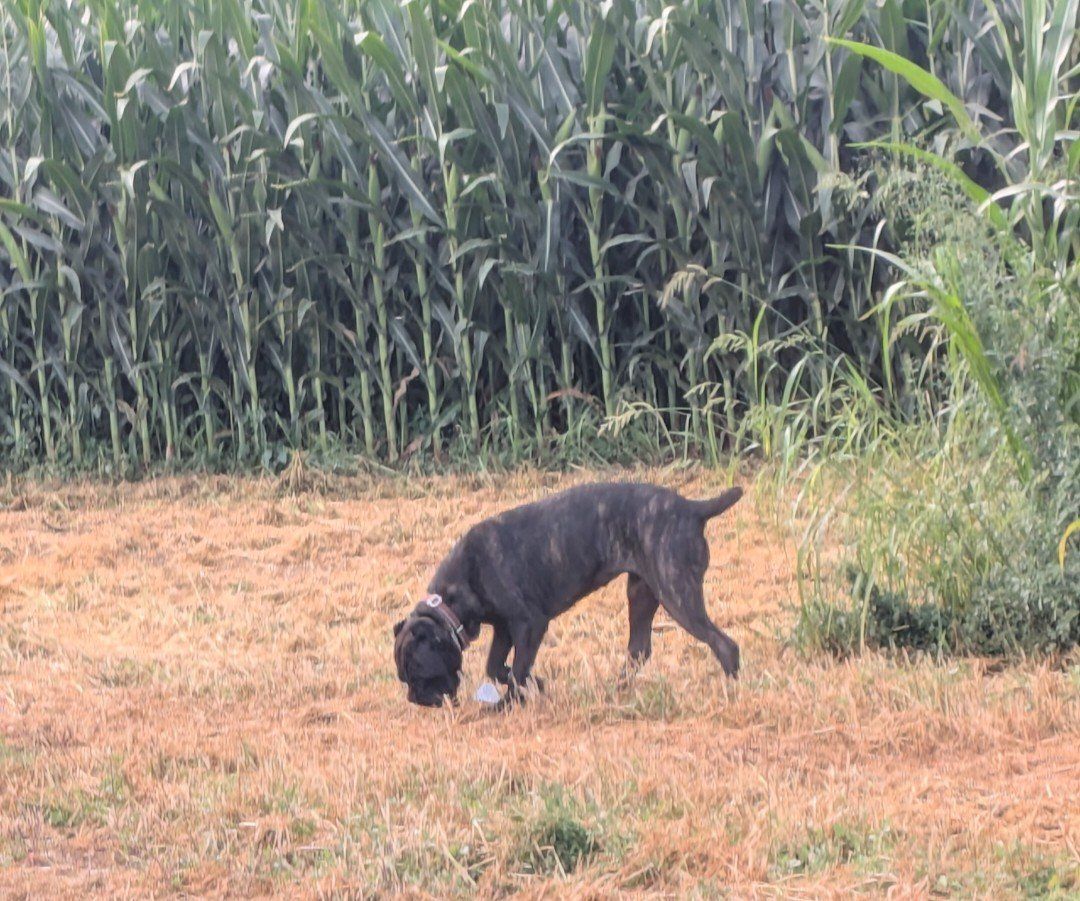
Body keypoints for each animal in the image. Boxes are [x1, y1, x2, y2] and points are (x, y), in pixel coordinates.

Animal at [393, 481, 743, 708]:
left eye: (419, 675)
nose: (417, 701)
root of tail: (692, 509)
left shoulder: (529, 624)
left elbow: (518, 669)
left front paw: (509, 703)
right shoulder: (504, 629)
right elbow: (497, 667)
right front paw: (535, 684)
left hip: (677, 594)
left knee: (724, 644)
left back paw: (734, 691)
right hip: (642, 594)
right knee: (639, 649)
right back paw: (616, 690)